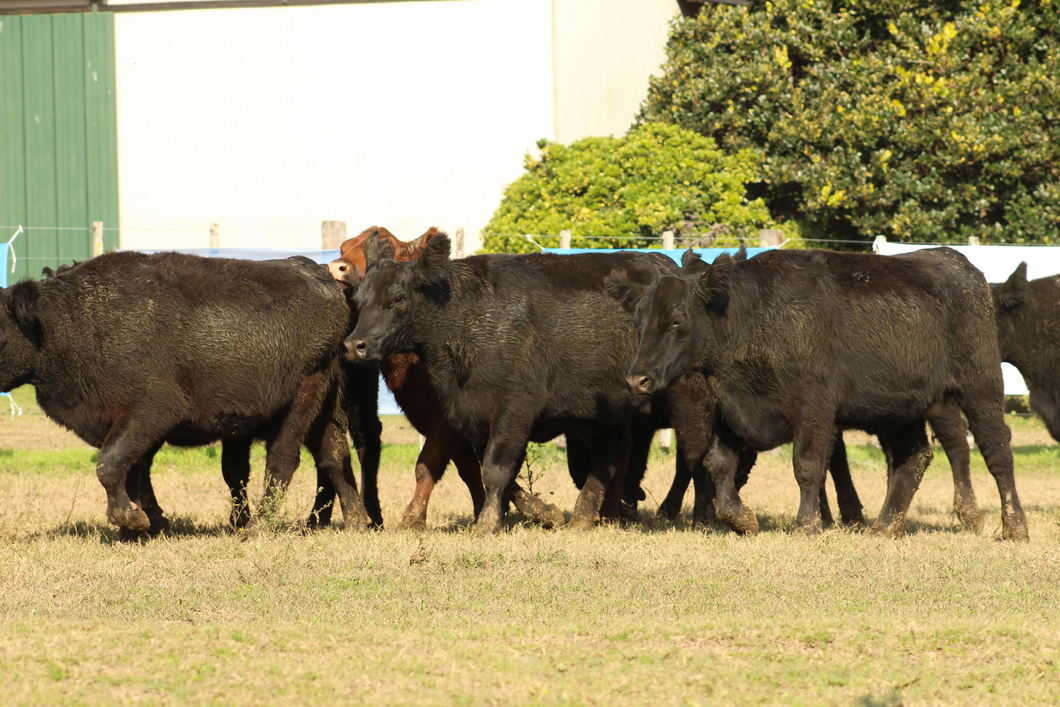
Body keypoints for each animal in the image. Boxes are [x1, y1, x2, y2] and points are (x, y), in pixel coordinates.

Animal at [0, 254, 373, 536]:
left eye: (1, 333)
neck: (68, 320)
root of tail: (319, 274)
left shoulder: (152, 410)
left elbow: (110, 464)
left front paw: (132, 520)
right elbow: (134, 472)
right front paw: (143, 526)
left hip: (301, 400)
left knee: (282, 462)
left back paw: (257, 528)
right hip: (320, 410)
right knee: (333, 456)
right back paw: (356, 522)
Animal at [347, 235, 678, 534]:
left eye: (398, 297)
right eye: (358, 300)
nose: (354, 345)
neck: (467, 319)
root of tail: (660, 262)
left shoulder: (514, 410)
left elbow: (494, 470)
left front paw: (488, 524)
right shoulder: (470, 415)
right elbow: (493, 473)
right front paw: (543, 513)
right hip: (598, 411)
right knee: (612, 451)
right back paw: (584, 517)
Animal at [610, 245, 1030, 538]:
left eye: (676, 321)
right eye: (638, 320)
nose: (637, 379)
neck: (754, 320)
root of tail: (956, 262)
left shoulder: (815, 407)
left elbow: (808, 465)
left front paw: (807, 524)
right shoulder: (729, 408)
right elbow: (718, 464)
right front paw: (742, 519)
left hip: (980, 386)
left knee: (997, 452)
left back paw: (1014, 528)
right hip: (903, 408)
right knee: (915, 456)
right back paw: (884, 527)